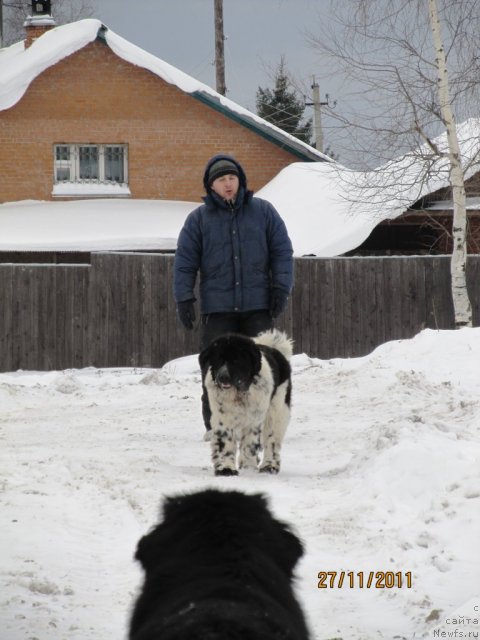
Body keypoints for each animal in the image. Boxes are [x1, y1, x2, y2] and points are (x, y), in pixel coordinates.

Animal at [199, 330, 292, 476]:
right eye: (218, 359)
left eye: (236, 360)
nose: (222, 377)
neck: (238, 394)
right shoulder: (222, 417)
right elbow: (224, 441)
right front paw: (226, 468)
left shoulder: (254, 419)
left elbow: (250, 444)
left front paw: (248, 467)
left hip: (278, 410)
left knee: (272, 440)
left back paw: (269, 465)